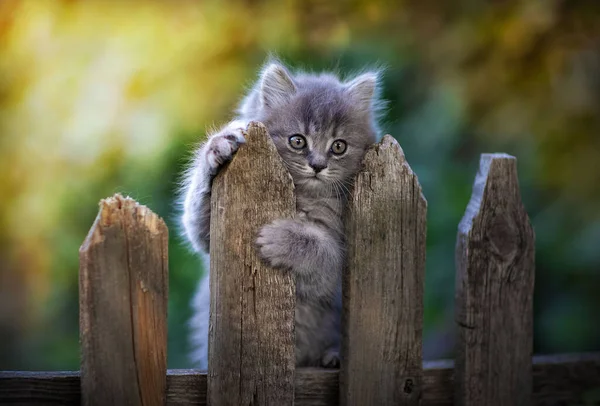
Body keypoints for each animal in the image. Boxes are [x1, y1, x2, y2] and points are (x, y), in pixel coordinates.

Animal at [180, 61, 382, 372]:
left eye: (339, 146)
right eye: (297, 141)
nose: (318, 165)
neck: (302, 196)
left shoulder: (337, 274)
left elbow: (323, 250)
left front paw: (279, 238)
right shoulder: (207, 236)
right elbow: (195, 215)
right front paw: (219, 145)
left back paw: (333, 356)